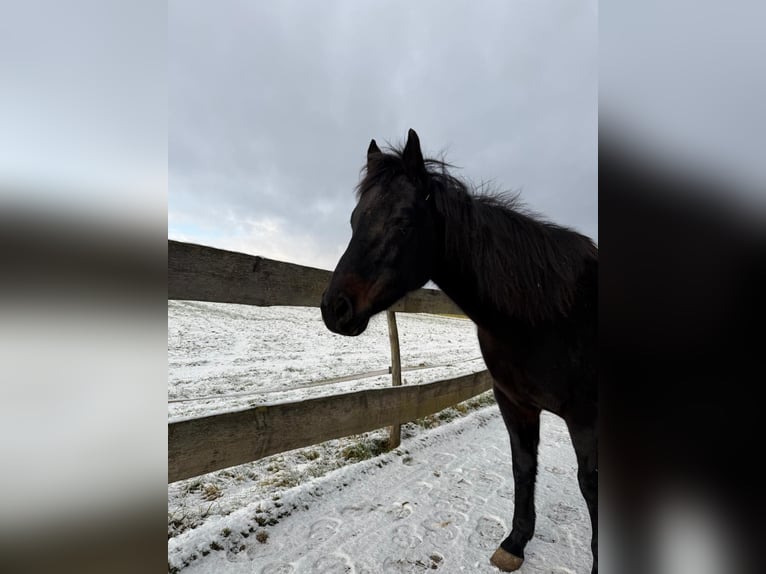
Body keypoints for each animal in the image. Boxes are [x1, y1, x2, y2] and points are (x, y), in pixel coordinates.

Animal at [320, 129, 597, 573]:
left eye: (402, 221)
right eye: (353, 220)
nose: (335, 308)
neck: (552, 313)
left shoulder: (585, 418)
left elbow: (590, 486)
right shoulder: (515, 403)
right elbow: (524, 467)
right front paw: (515, 543)